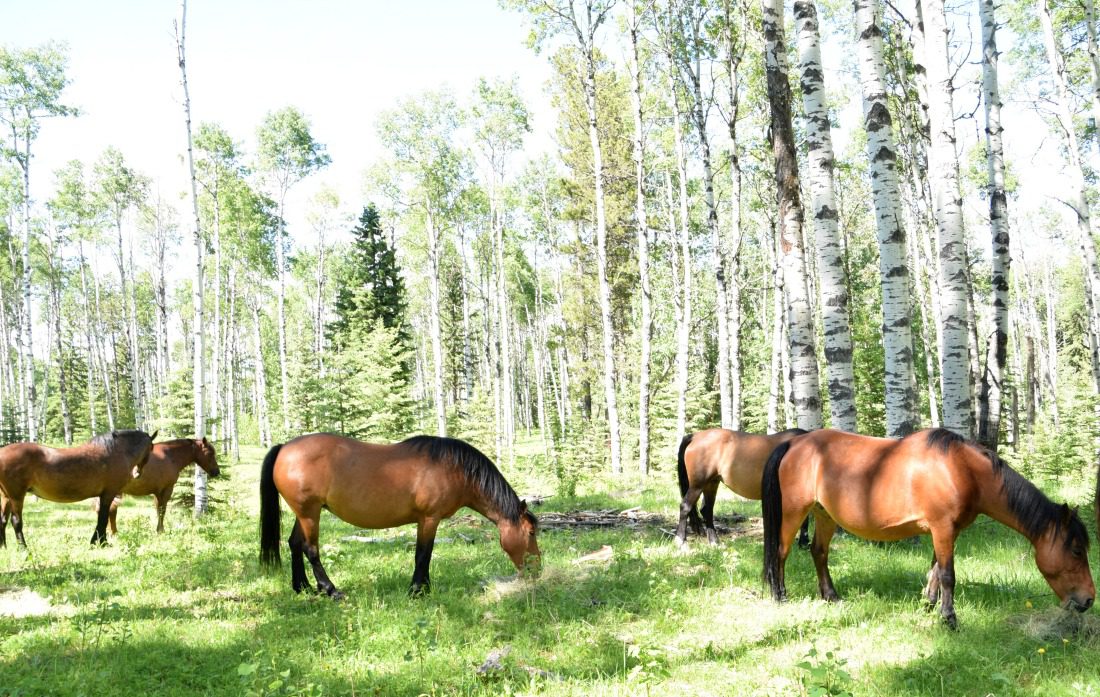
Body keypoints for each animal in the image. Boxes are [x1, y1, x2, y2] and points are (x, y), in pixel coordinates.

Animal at [0, 429, 157, 547]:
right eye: (151, 449)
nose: (137, 473)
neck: (116, 451)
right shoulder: (108, 494)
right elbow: (103, 518)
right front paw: (100, 542)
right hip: (16, 496)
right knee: (16, 521)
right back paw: (23, 548)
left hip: (6, 497)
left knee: (3, 520)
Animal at [259, 433, 541, 599]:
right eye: (531, 532)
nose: (537, 569)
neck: (455, 469)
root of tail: (284, 448)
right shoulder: (429, 518)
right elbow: (423, 554)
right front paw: (418, 590)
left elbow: (424, 555)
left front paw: (424, 587)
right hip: (310, 513)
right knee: (311, 549)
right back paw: (330, 589)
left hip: (305, 513)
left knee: (295, 544)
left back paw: (303, 588)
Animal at [675, 428, 810, 547]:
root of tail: (695, 436)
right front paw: (804, 543)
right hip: (698, 484)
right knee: (685, 506)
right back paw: (681, 541)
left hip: (711, 483)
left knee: (707, 510)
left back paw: (714, 542)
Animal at [761, 428, 1095, 629]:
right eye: (1077, 550)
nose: (1089, 600)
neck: (962, 469)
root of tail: (795, 442)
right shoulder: (942, 528)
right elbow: (948, 575)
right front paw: (949, 619)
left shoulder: (947, 531)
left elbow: (934, 571)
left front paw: (928, 606)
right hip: (793, 513)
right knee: (780, 552)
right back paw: (780, 597)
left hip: (824, 515)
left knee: (818, 552)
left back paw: (831, 596)